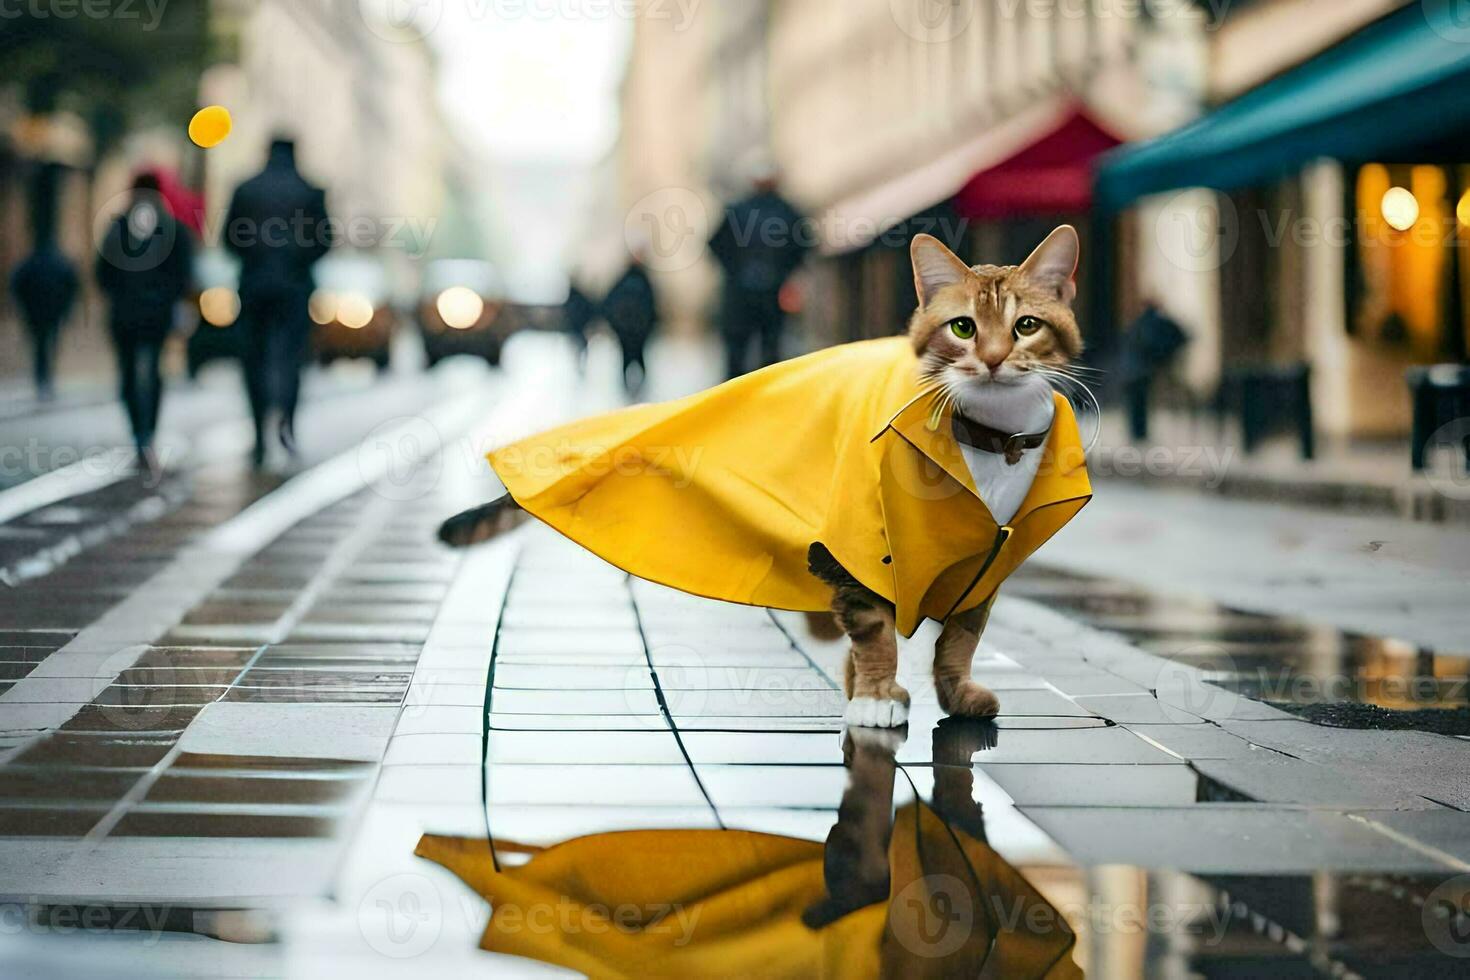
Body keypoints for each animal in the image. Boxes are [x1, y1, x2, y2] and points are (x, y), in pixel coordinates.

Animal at [441, 230, 1099, 728]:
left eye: (1027, 325)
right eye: (963, 328)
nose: (992, 359)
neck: (988, 436)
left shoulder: (988, 561)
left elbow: (959, 638)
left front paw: (953, 692)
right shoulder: (862, 547)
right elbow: (876, 631)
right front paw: (876, 695)